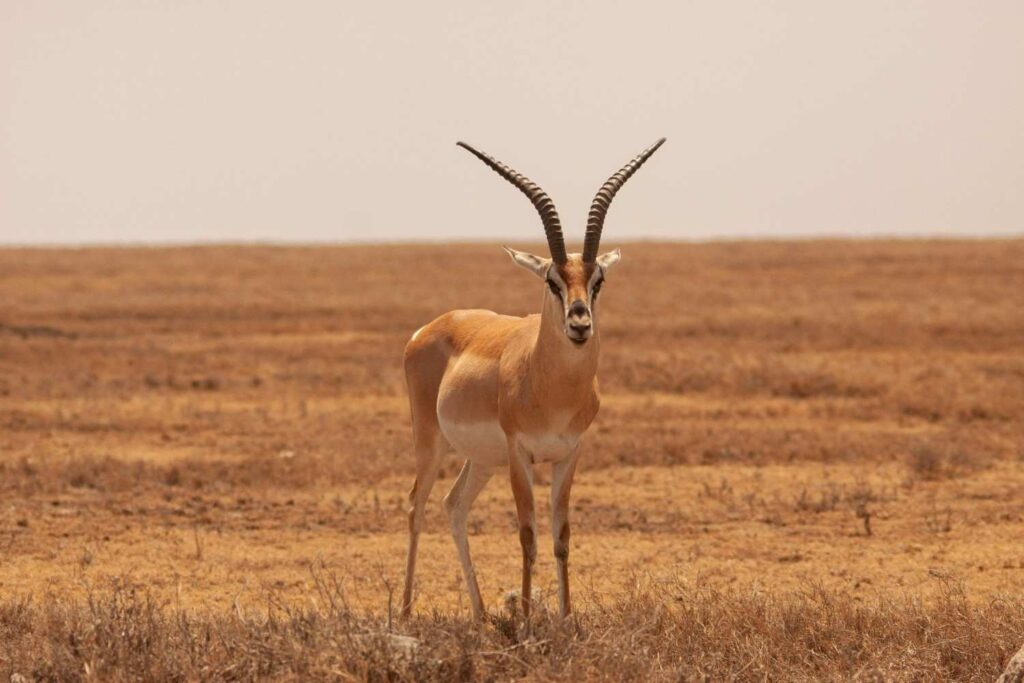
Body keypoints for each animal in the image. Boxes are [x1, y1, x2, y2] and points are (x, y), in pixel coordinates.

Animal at [400, 138, 666, 621]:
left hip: (482, 459)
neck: (552, 391)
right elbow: (527, 534)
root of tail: (430, 327)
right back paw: (409, 610)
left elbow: (561, 535)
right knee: (418, 504)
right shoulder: (519, 453)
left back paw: (482, 616)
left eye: (597, 280)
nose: (579, 324)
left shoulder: (569, 453)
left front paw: (565, 618)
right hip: (431, 441)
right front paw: (525, 618)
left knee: (454, 506)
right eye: (552, 280)